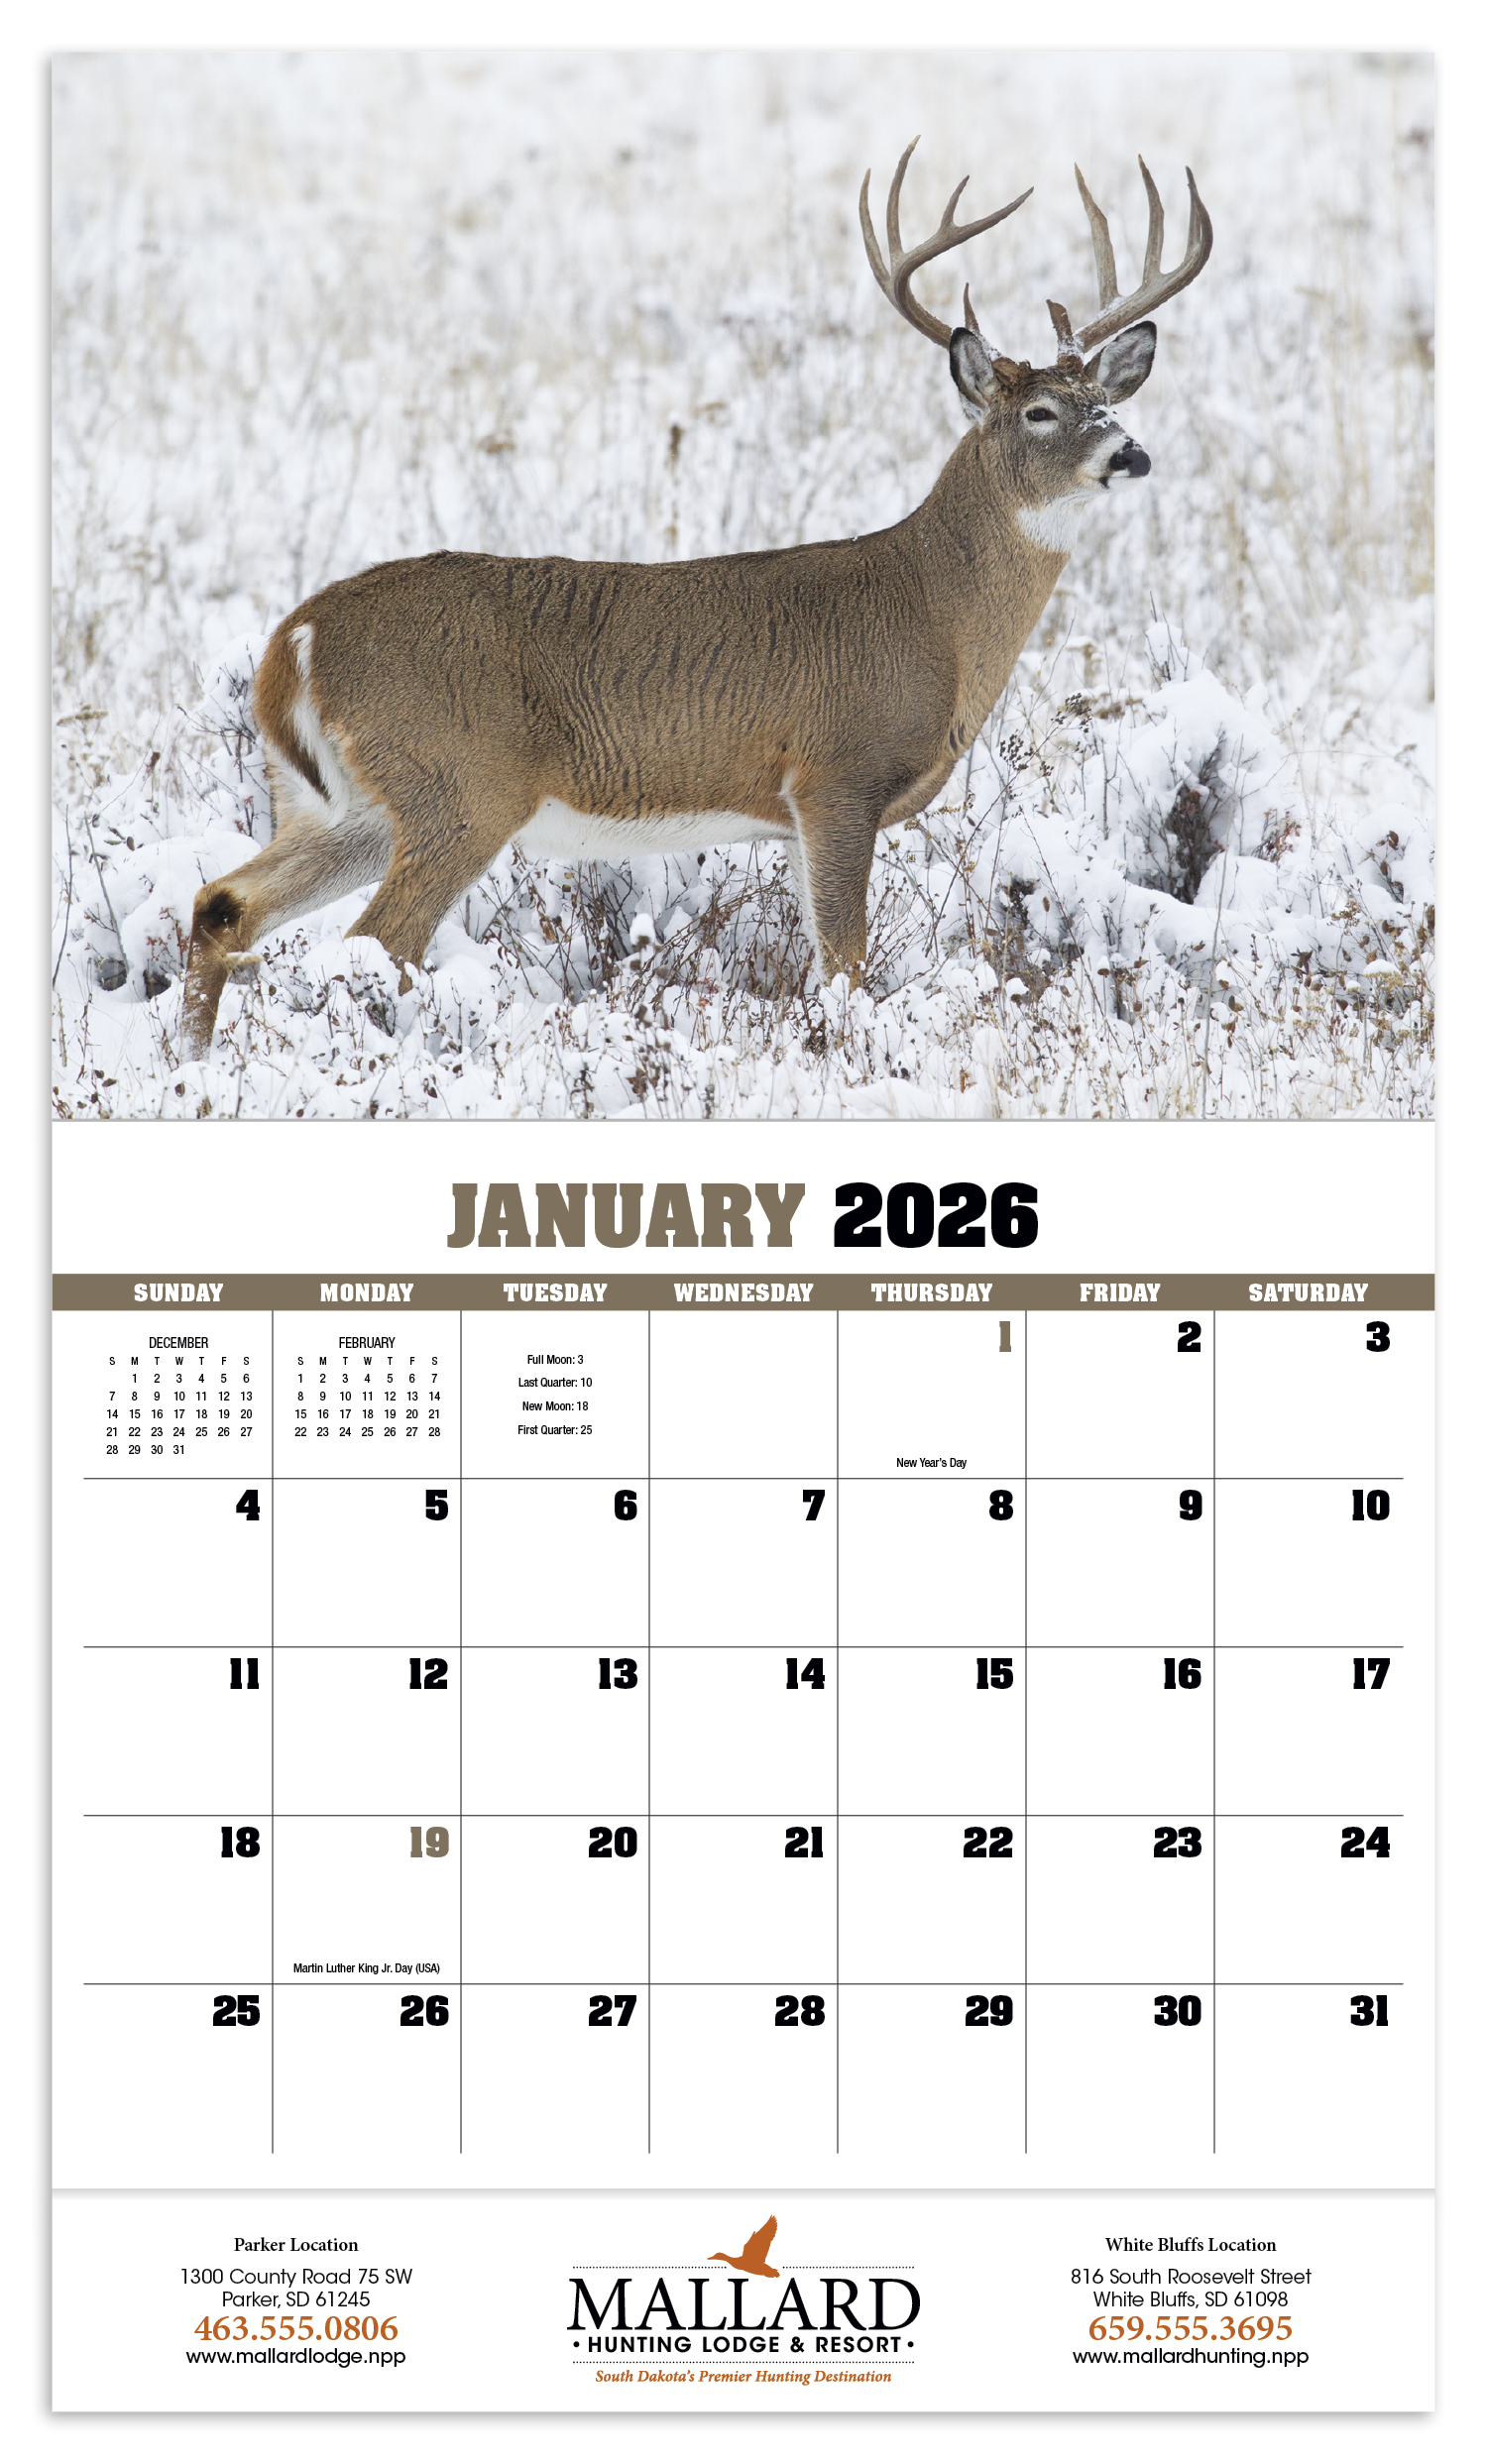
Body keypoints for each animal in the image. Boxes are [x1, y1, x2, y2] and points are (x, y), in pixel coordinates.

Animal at [180, 141, 1212, 1059]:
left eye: (1108, 402)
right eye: (1039, 411)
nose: (1130, 453)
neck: (934, 613)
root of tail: (297, 639)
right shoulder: (836, 772)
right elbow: (845, 966)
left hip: (338, 806)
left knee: (223, 903)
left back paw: (192, 1061)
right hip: (459, 785)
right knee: (372, 942)